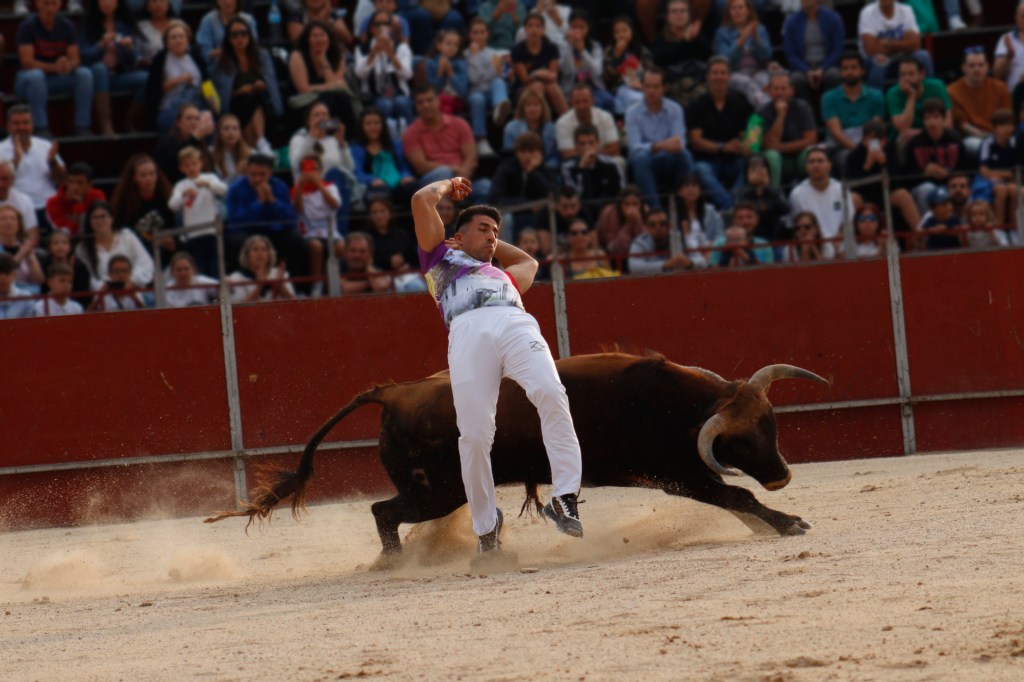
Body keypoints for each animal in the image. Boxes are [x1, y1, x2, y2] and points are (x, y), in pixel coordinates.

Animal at [206, 352, 829, 559]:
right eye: (739, 441)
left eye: (771, 424)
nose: (782, 475)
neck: (672, 405)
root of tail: (393, 392)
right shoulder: (674, 474)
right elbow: (733, 492)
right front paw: (787, 523)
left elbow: (734, 496)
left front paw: (772, 521)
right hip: (435, 491)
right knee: (384, 512)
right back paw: (397, 561)